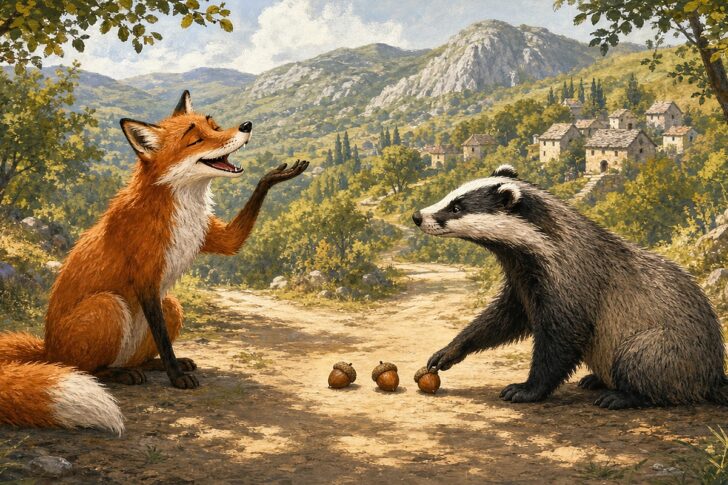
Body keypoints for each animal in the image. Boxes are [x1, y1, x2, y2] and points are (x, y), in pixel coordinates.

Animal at [0, 91, 308, 434]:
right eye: (196, 139)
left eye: (214, 126)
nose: (246, 125)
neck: (181, 207)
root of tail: (46, 349)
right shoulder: (146, 276)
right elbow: (162, 337)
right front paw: (176, 378)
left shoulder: (211, 237)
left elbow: (232, 241)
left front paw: (274, 176)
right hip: (108, 306)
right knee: (85, 367)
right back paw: (119, 374)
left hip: (170, 304)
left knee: (140, 353)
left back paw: (151, 364)